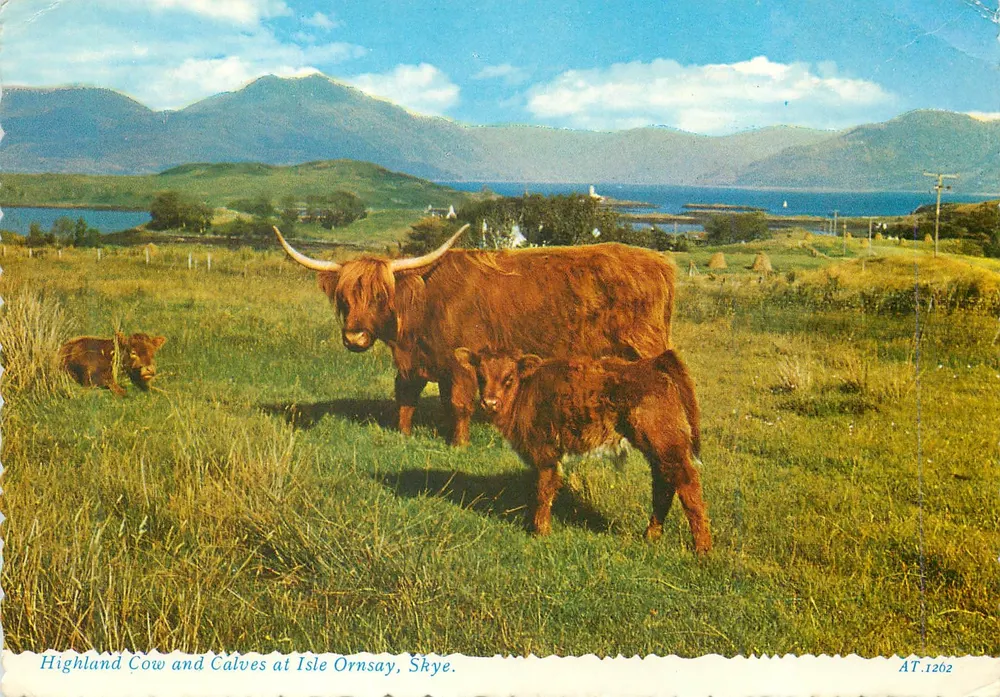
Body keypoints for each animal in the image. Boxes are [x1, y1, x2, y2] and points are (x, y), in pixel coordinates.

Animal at [274, 225, 676, 446]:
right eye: (345, 298)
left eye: (380, 297)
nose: (355, 338)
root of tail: (659, 262)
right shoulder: (417, 363)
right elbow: (407, 397)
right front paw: (403, 434)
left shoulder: (462, 363)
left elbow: (459, 403)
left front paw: (458, 444)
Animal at [453, 346, 711, 554]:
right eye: (480, 376)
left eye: (509, 378)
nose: (489, 403)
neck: (525, 391)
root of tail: (653, 363)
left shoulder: (546, 454)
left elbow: (543, 491)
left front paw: (540, 532)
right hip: (657, 450)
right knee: (663, 484)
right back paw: (650, 535)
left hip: (665, 446)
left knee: (687, 484)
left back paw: (703, 549)